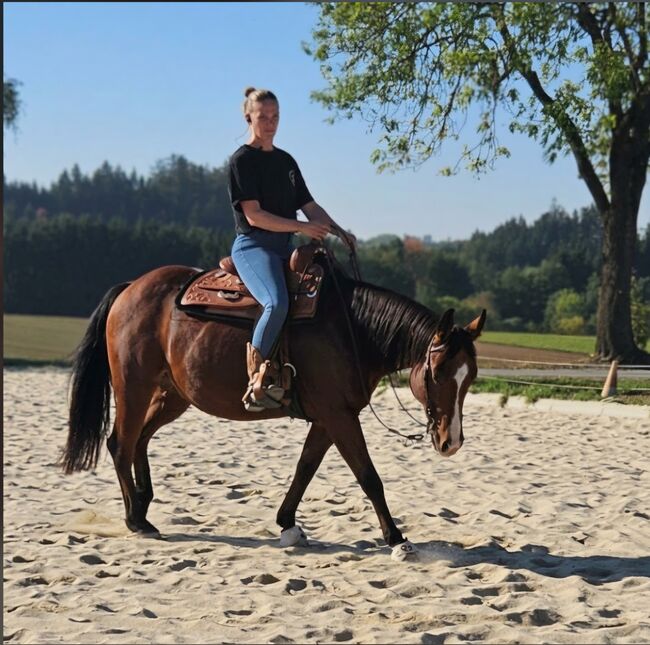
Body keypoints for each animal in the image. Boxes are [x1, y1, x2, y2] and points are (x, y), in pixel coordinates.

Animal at [62, 255, 486, 560]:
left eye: (471, 376)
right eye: (438, 372)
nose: (451, 441)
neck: (354, 330)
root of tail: (130, 288)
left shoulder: (330, 417)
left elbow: (305, 468)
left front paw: (288, 524)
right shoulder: (339, 416)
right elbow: (369, 476)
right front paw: (397, 539)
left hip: (173, 396)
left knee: (140, 440)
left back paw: (144, 507)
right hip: (133, 387)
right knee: (120, 442)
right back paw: (135, 518)